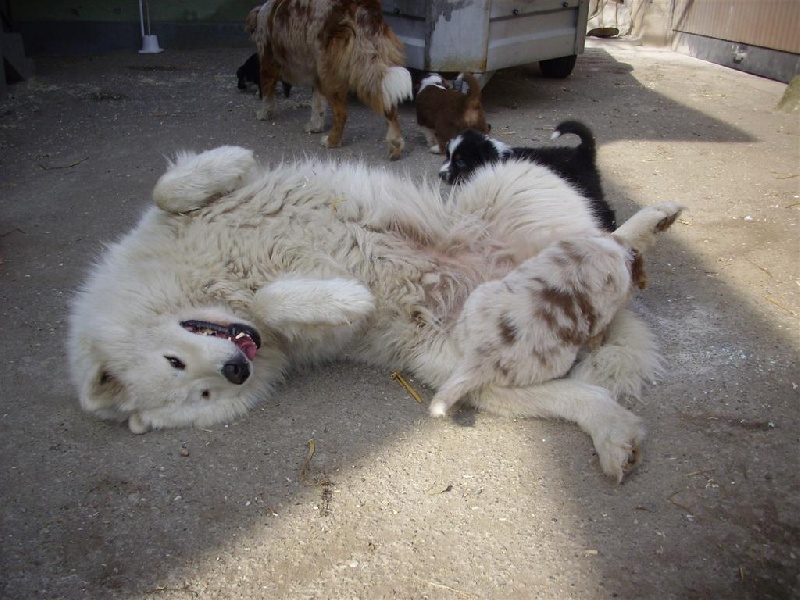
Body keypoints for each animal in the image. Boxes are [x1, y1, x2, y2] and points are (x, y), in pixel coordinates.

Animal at [68, 145, 683, 482]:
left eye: (175, 363)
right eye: (202, 395)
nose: (236, 371)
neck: (211, 284)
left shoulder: (173, 225)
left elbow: (167, 188)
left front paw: (229, 161)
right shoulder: (279, 336)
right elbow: (275, 305)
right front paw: (348, 300)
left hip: (507, 182)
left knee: (607, 239)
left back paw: (654, 221)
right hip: (458, 370)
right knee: (582, 387)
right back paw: (614, 434)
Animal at [245, 0, 412, 160]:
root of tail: (360, 6)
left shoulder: (268, 64)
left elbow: (267, 94)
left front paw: (264, 113)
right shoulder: (316, 75)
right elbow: (317, 104)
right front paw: (315, 126)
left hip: (334, 74)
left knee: (342, 113)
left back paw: (332, 141)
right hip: (376, 64)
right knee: (389, 104)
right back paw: (395, 145)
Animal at [440, 121, 617, 231]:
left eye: (461, 161)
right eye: (448, 156)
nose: (440, 174)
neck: (496, 157)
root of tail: (582, 151)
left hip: (588, 189)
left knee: (606, 211)